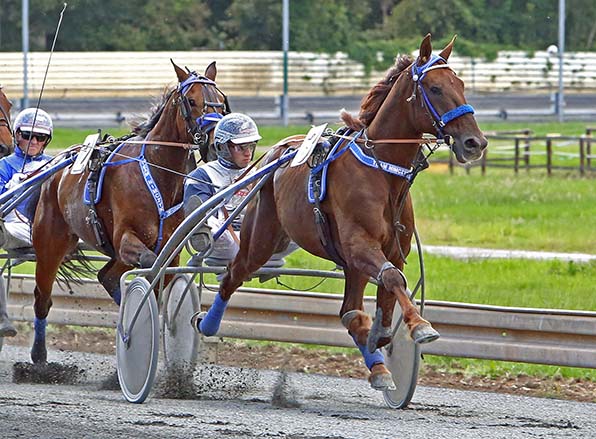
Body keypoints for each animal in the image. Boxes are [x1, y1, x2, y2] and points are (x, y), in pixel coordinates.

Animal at [30, 62, 230, 364]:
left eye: (219, 100)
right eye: (192, 101)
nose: (214, 141)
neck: (159, 173)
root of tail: (56, 169)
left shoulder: (170, 245)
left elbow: (163, 275)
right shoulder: (127, 239)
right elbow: (150, 265)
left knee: (107, 276)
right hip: (51, 243)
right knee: (43, 297)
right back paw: (39, 355)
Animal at [198, 35, 486, 392]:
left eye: (460, 84)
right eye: (434, 88)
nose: (475, 142)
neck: (381, 172)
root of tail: (277, 152)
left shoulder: (391, 250)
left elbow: (390, 288)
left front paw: (381, 337)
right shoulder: (359, 245)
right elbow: (392, 279)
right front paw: (419, 325)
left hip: (343, 261)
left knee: (348, 309)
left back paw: (377, 364)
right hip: (261, 238)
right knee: (232, 275)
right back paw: (207, 324)